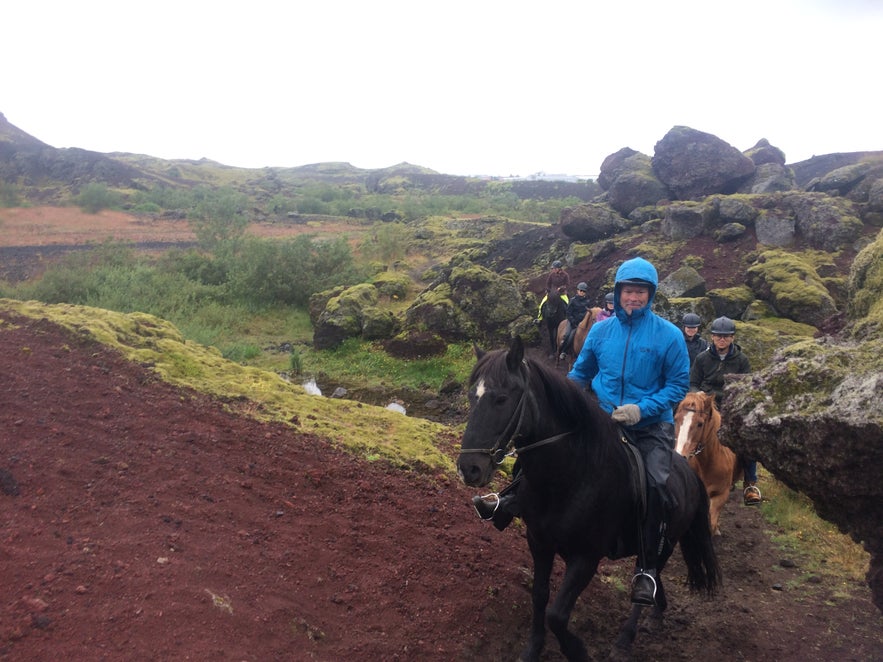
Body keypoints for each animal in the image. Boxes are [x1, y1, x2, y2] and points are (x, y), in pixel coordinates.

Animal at [460, 340, 720, 660]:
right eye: (472, 397)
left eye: (501, 399)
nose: (468, 468)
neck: (570, 477)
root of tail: (688, 471)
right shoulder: (539, 542)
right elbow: (539, 596)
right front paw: (533, 648)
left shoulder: (586, 558)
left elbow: (557, 615)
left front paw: (577, 651)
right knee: (654, 578)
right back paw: (658, 613)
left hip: (665, 543)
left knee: (647, 579)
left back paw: (626, 637)